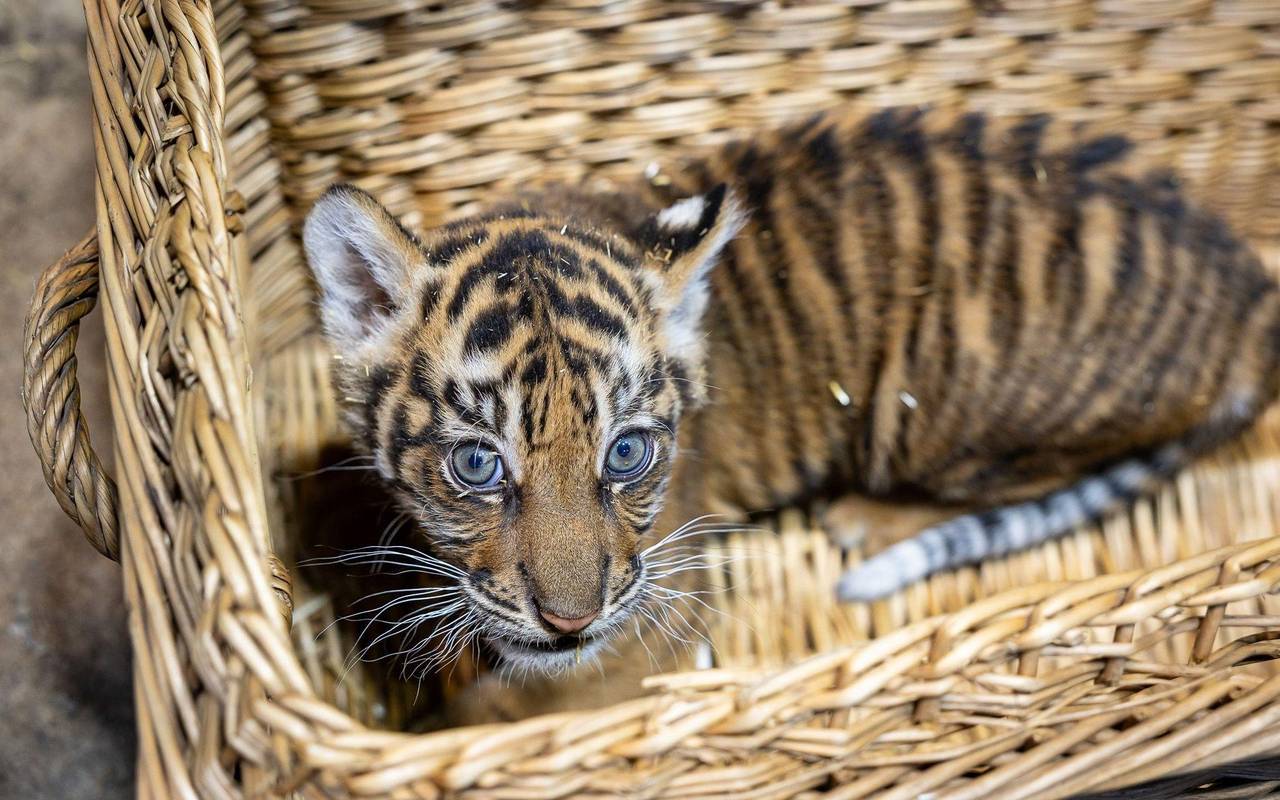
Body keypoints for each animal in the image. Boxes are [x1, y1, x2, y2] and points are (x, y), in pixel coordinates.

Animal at [301, 108, 1280, 721]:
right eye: (478, 464)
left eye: (626, 455)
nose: (569, 623)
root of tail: (1250, 295)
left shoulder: (652, 624)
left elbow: (507, 705)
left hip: (929, 400)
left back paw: (865, 519)